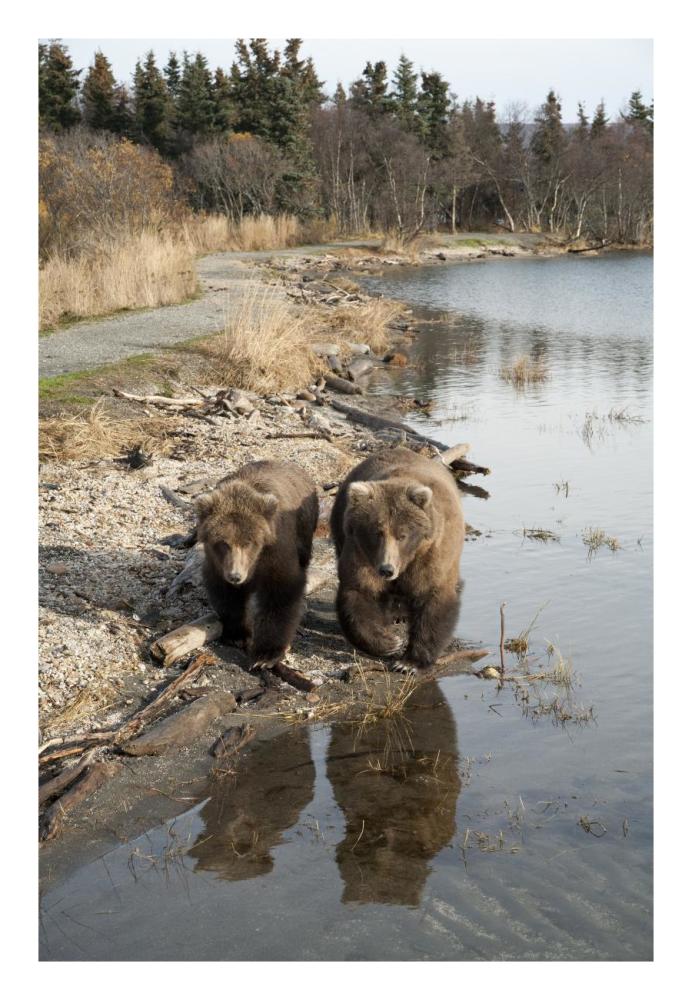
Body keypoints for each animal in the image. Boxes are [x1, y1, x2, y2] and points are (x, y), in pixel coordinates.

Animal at [195, 460, 318, 670]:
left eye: (248, 542)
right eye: (223, 543)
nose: (235, 576)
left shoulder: (276, 551)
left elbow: (280, 594)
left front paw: (266, 655)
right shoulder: (217, 563)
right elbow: (227, 595)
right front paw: (237, 634)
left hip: (305, 526)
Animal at [330, 446, 464, 670]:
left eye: (402, 535)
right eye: (377, 532)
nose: (387, 569)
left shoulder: (431, 553)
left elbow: (432, 597)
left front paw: (409, 663)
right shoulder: (362, 553)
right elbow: (360, 591)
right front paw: (389, 643)